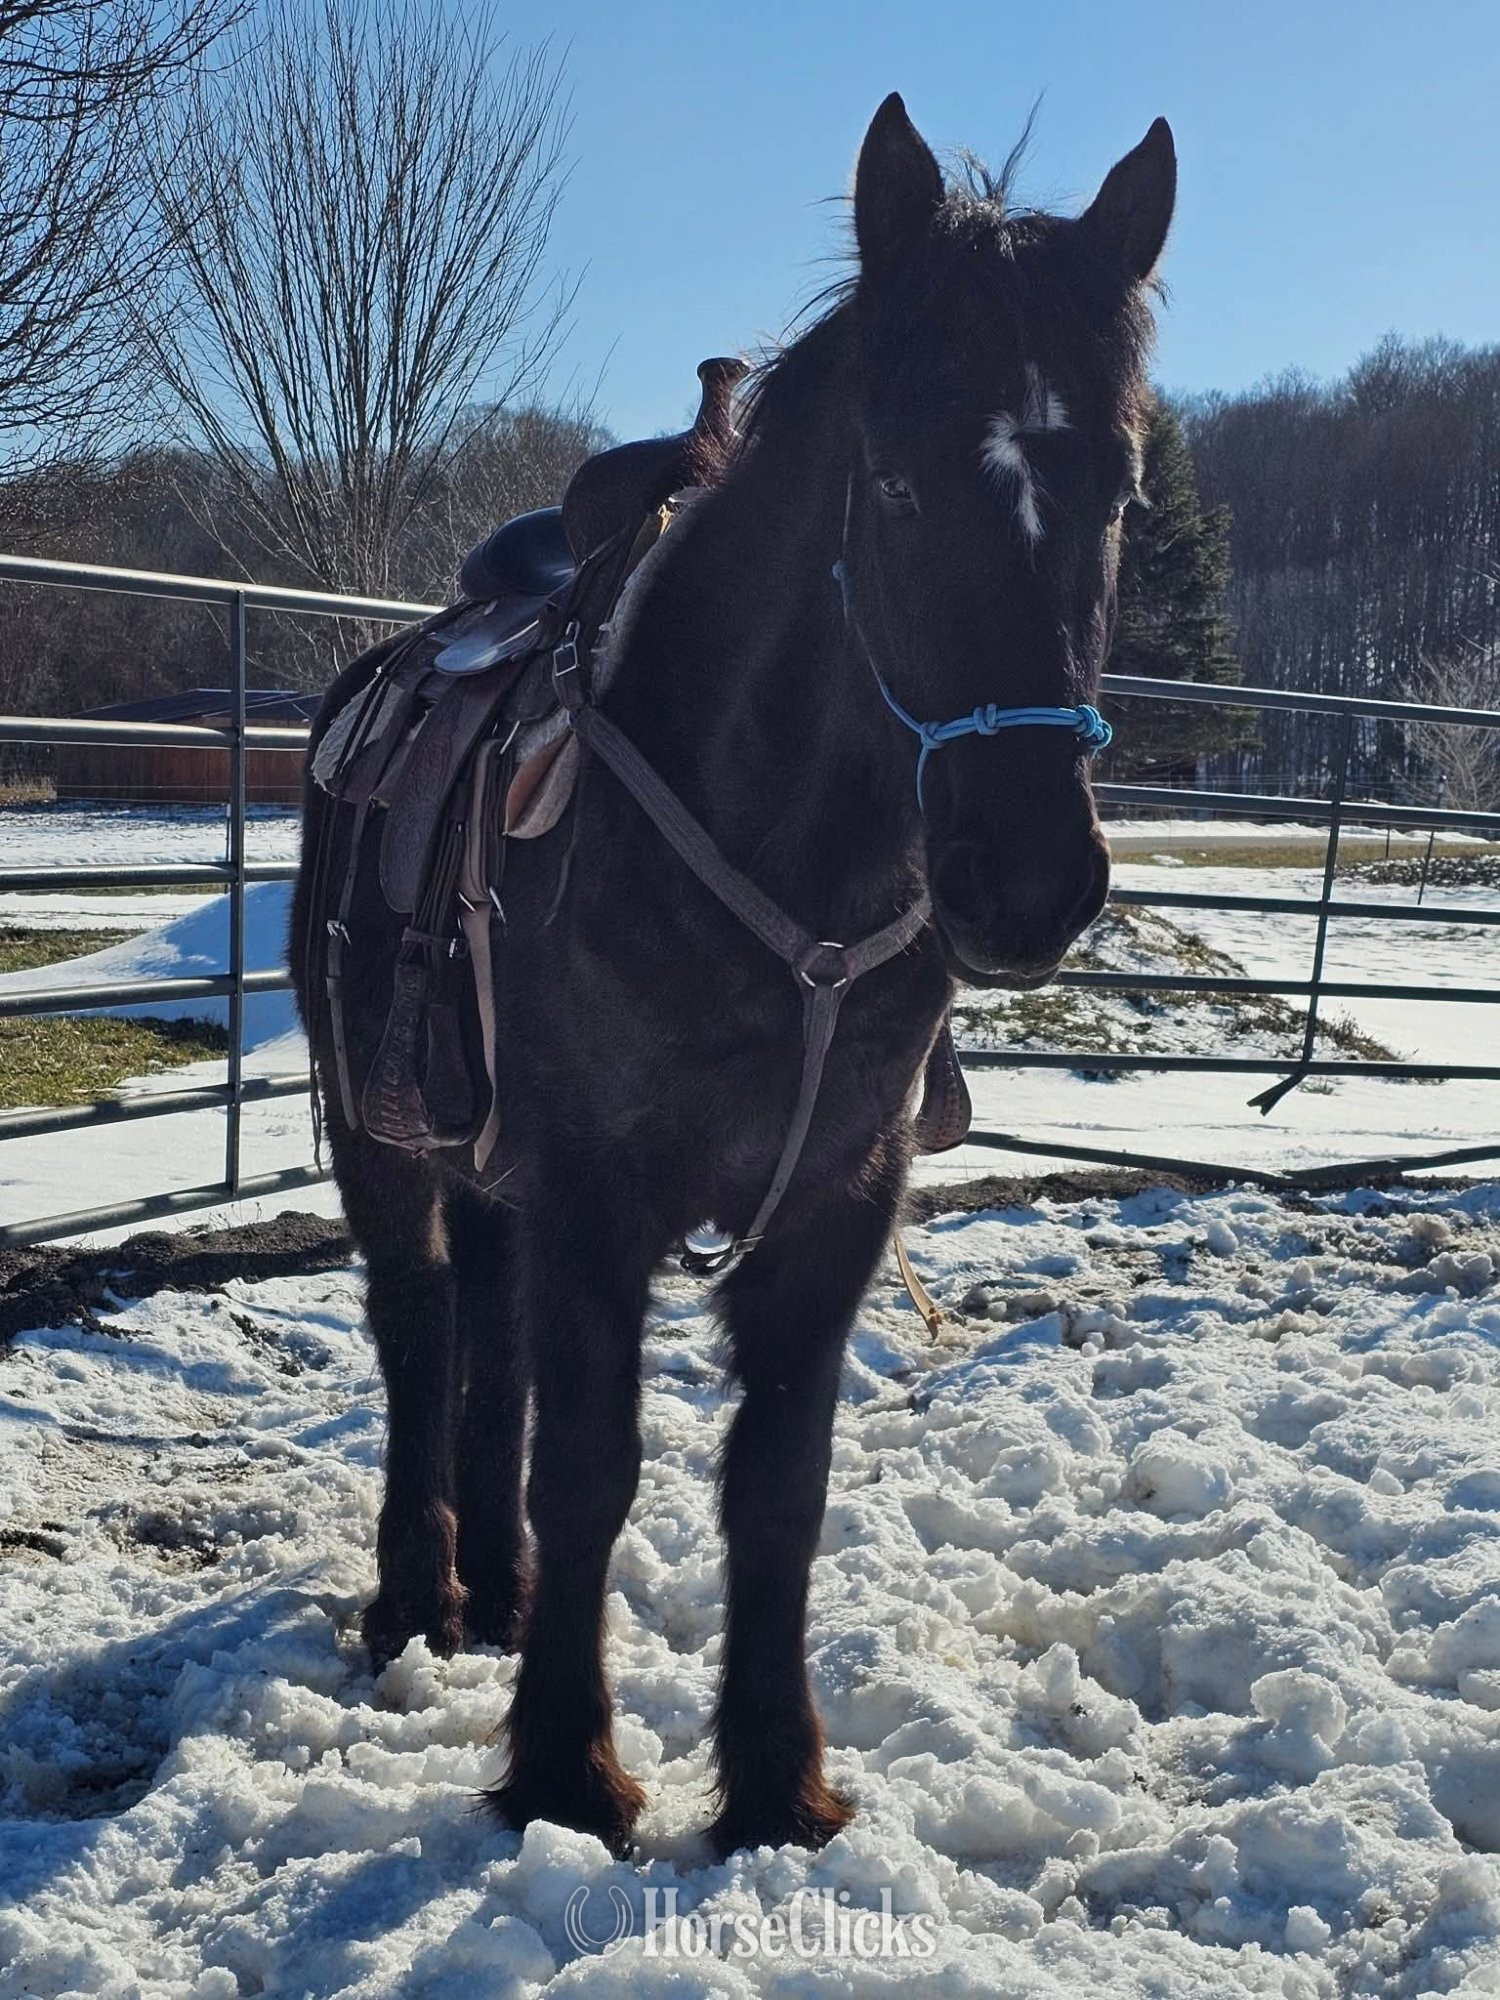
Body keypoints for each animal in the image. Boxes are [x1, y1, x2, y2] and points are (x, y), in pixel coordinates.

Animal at [290, 93, 1176, 1858]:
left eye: (1115, 483)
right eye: (891, 483)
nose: (1029, 879)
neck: (778, 859)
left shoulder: (830, 1211)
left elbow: (778, 1490)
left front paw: (773, 1783)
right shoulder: (597, 1194)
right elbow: (594, 1471)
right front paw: (568, 1774)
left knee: (484, 1345)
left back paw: (496, 1590)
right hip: (379, 1135)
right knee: (420, 1329)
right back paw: (419, 1597)